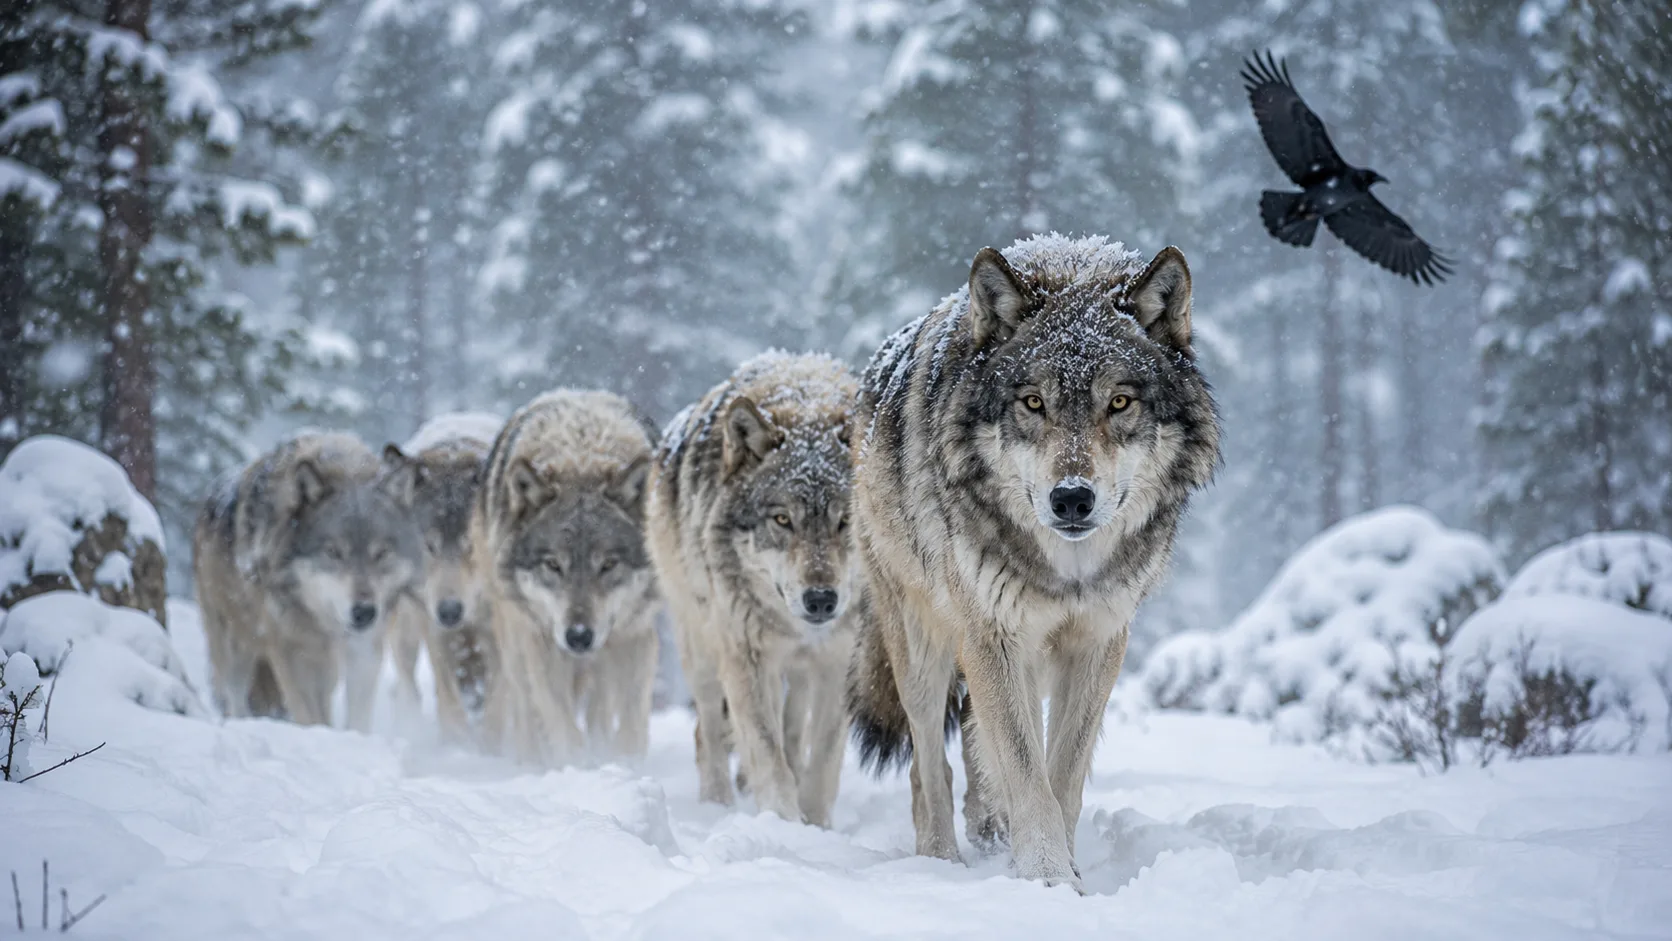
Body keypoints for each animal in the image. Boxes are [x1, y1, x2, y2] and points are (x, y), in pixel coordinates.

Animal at [193, 432, 423, 730]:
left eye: (381, 553)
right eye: (333, 552)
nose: (364, 612)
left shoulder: (364, 647)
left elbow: (356, 716)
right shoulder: (291, 650)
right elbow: (308, 715)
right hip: (235, 644)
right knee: (235, 697)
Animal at [380, 412, 502, 745]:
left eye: (470, 546)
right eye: (429, 546)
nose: (449, 611)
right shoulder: (434, 627)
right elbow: (450, 704)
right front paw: (456, 745)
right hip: (406, 630)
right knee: (410, 686)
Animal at [473, 390, 659, 766]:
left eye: (608, 564)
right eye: (553, 565)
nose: (579, 636)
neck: (581, 461)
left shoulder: (635, 636)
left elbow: (631, 727)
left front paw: (623, 764)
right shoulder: (540, 641)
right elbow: (561, 725)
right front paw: (578, 767)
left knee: (600, 709)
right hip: (514, 639)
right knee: (524, 705)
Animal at [647, 352, 861, 827]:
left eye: (845, 520)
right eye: (782, 520)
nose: (821, 600)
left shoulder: (837, 659)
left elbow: (823, 758)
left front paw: (816, 826)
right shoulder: (747, 655)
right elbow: (765, 749)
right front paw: (784, 825)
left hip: (796, 672)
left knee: (793, 730)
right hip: (701, 649)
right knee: (707, 729)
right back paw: (717, 803)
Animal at [847, 234, 1220, 888]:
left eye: (1118, 402)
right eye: (1033, 402)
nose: (1071, 498)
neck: (1067, 571)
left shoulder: (1098, 639)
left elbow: (1061, 773)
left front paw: (1063, 871)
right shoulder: (993, 634)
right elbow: (1025, 769)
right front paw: (1046, 877)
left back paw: (991, 829)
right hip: (922, 645)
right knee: (928, 765)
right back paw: (941, 859)